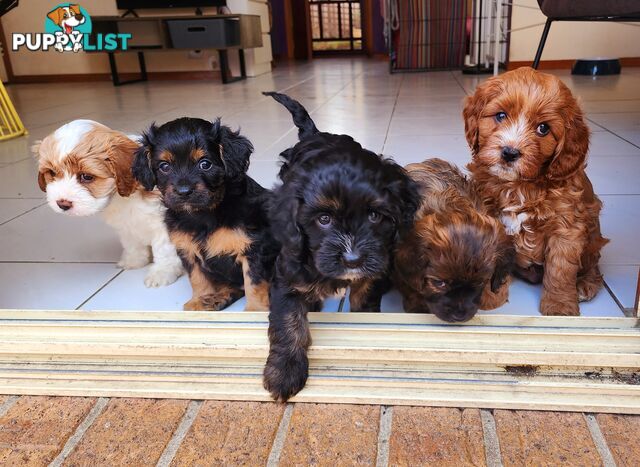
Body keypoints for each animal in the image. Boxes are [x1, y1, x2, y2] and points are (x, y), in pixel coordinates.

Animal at [36, 119, 182, 288]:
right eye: (52, 173)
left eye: (86, 176)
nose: (63, 203)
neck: (123, 198)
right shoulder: (126, 226)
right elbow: (132, 244)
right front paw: (134, 261)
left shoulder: (163, 225)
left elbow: (163, 250)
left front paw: (162, 272)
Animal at [132, 117, 278, 312]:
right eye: (164, 167)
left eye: (205, 164)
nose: (184, 191)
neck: (203, 214)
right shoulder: (187, 250)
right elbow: (197, 278)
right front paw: (199, 300)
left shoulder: (254, 249)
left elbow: (254, 283)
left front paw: (255, 311)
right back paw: (218, 298)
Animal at [262, 92, 420, 402]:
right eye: (323, 219)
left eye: (374, 216)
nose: (353, 259)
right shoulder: (287, 274)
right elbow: (288, 320)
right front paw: (284, 371)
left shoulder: (371, 274)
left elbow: (364, 300)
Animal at [462, 67, 608, 316]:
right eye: (500, 116)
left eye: (543, 128)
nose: (509, 152)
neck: (518, 186)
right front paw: (489, 297)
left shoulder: (566, 228)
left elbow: (560, 270)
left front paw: (559, 307)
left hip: (592, 237)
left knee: (593, 264)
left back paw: (585, 284)